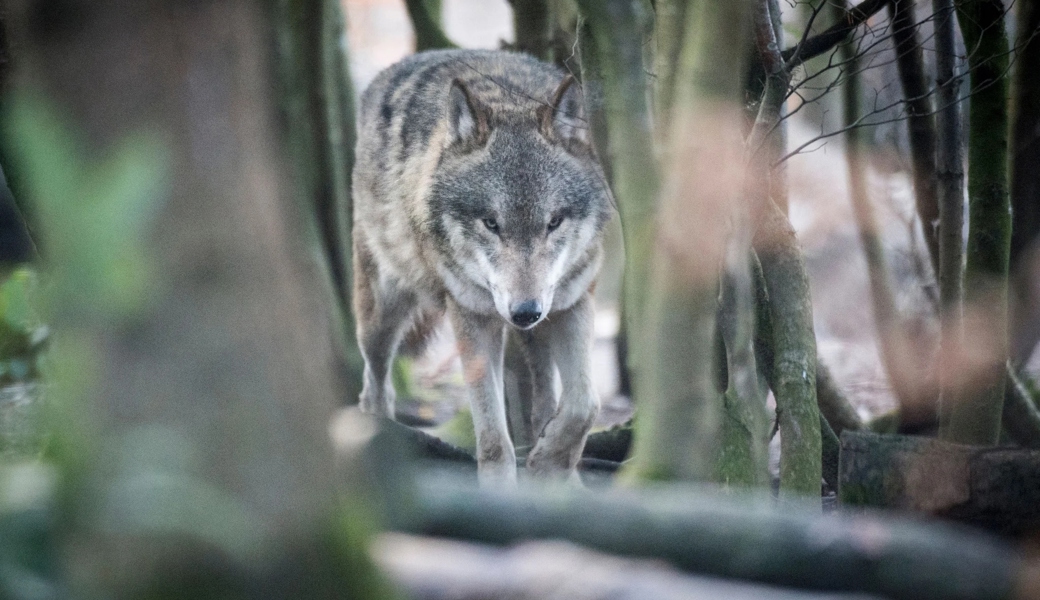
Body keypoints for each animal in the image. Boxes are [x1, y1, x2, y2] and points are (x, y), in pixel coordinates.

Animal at [352, 49, 614, 485]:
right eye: (491, 223)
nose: (524, 311)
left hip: (535, 333)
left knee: (543, 400)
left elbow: (584, 405)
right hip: (382, 315)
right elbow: (493, 434)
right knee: (374, 385)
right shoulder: (471, 316)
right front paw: (501, 486)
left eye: (553, 222)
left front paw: (549, 464)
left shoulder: (573, 303)